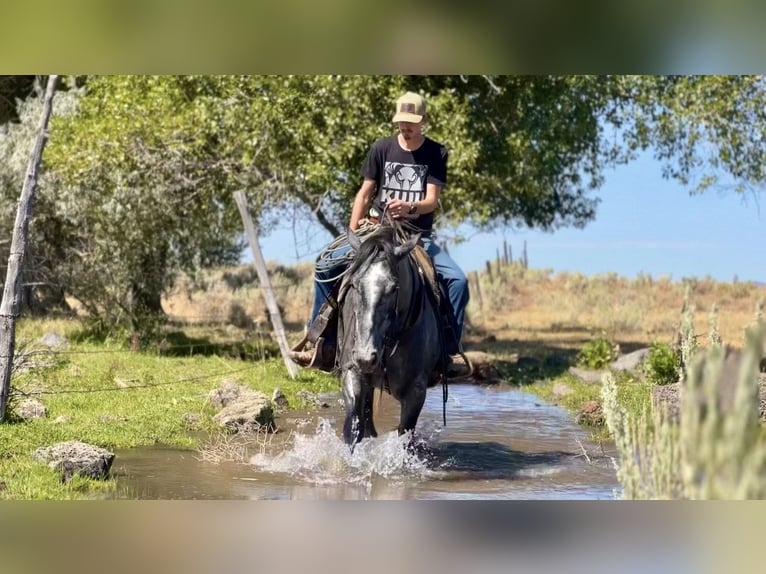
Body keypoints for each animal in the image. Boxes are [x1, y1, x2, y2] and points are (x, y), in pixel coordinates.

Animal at [336, 224, 445, 450]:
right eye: (354, 284)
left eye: (394, 288)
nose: (366, 357)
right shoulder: (352, 372)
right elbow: (354, 429)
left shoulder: (416, 392)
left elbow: (405, 436)